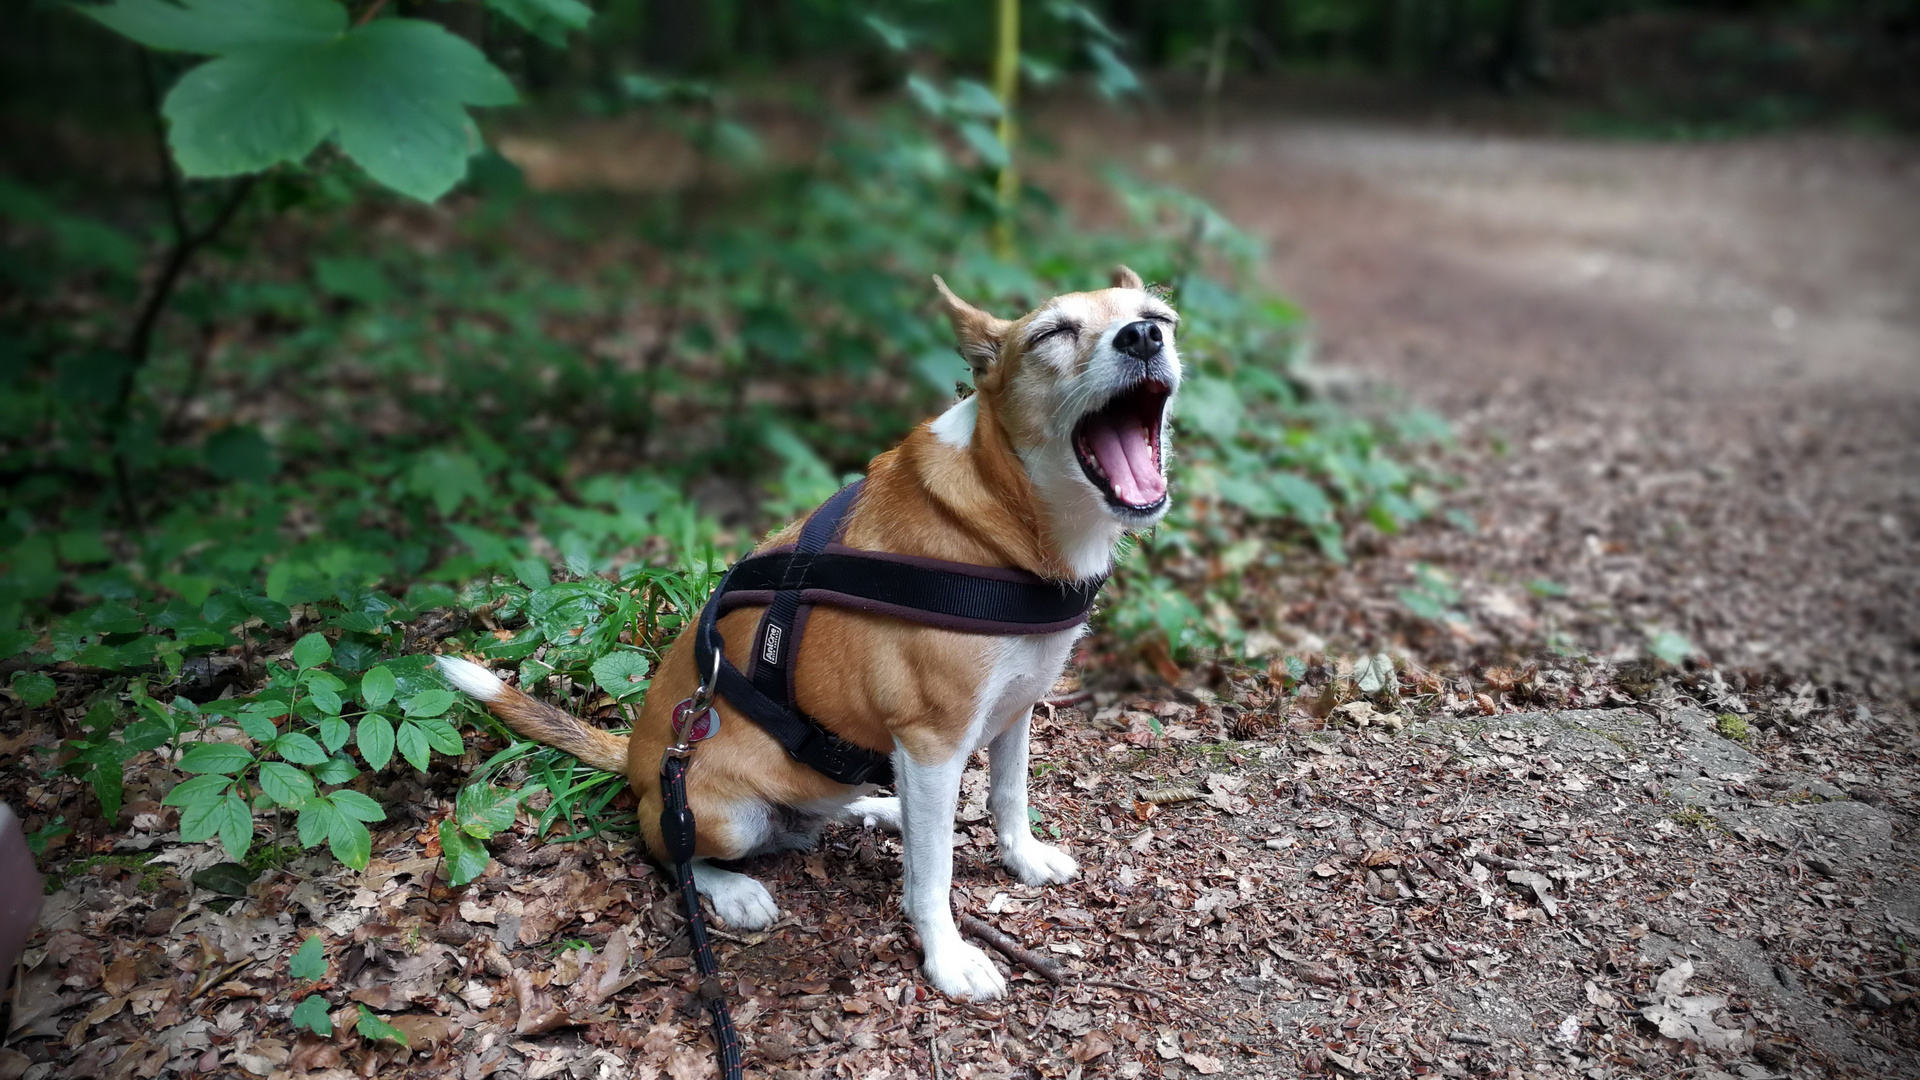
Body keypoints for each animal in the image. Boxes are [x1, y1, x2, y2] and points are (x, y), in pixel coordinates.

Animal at [439, 265, 1175, 999]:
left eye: (1160, 316)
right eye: (1053, 333)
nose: (1143, 337)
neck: (1008, 509)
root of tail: (640, 759)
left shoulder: (1014, 709)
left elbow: (1010, 796)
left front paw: (1023, 858)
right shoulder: (932, 741)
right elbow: (932, 875)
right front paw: (947, 955)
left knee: (825, 806)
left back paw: (881, 810)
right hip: (719, 814)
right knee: (670, 847)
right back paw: (733, 888)